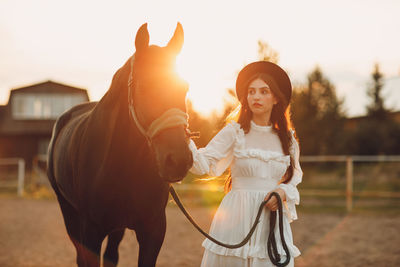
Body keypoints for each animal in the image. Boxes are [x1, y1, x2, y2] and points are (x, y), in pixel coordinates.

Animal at [47, 23, 194, 267]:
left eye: (184, 87)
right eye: (144, 86)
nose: (178, 160)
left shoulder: (153, 231)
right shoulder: (91, 231)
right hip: (68, 211)